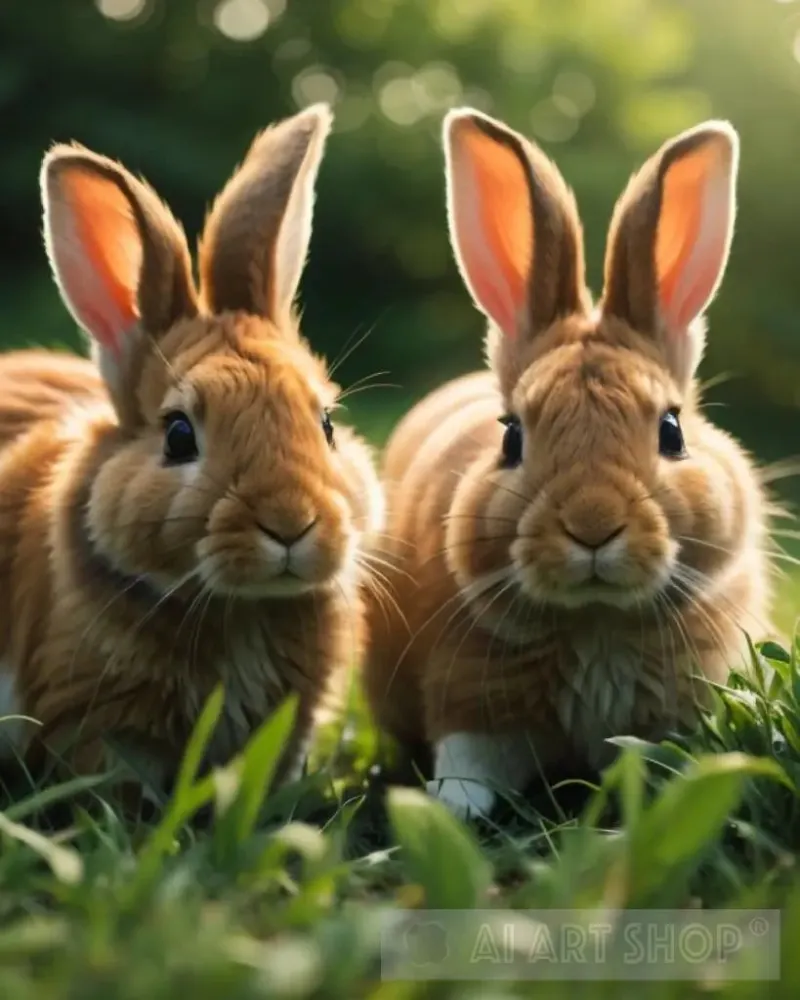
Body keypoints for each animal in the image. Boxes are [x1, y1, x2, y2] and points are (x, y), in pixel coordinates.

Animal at [363, 108, 776, 820]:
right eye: (511, 438)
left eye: (672, 431)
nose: (592, 526)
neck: (596, 620)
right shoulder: (470, 696)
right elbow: (470, 761)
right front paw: (450, 810)